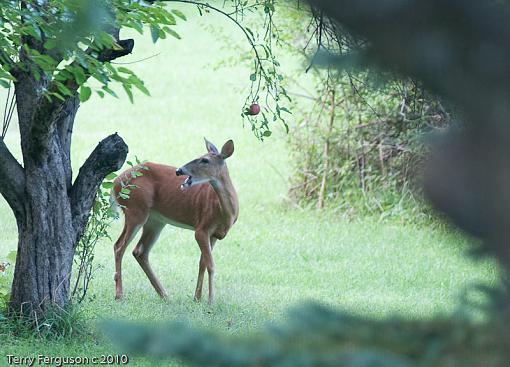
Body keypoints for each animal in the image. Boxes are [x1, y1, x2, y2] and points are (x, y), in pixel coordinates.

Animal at [110, 138, 238, 304]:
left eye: (205, 160)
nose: (179, 170)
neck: (225, 213)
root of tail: (115, 183)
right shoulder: (201, 229)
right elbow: (211, 265)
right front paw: (210, 301)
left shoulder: (215, 235)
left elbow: (202, 263)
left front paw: (197, 298)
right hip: (136, 209)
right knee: (119, 246)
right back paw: (119, 295)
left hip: (155, 220)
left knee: (139, 251)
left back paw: (164, 295)